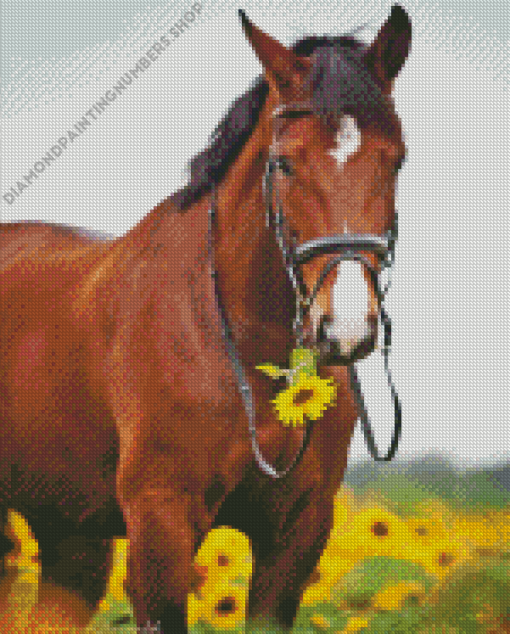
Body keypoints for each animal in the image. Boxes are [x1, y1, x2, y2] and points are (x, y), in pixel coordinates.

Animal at [0, 6, 412, 632]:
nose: (344, 328)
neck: (242, 347)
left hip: (69, 534)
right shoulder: (161, 526)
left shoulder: (295, 537)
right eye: (284, 163)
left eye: (398, 159)